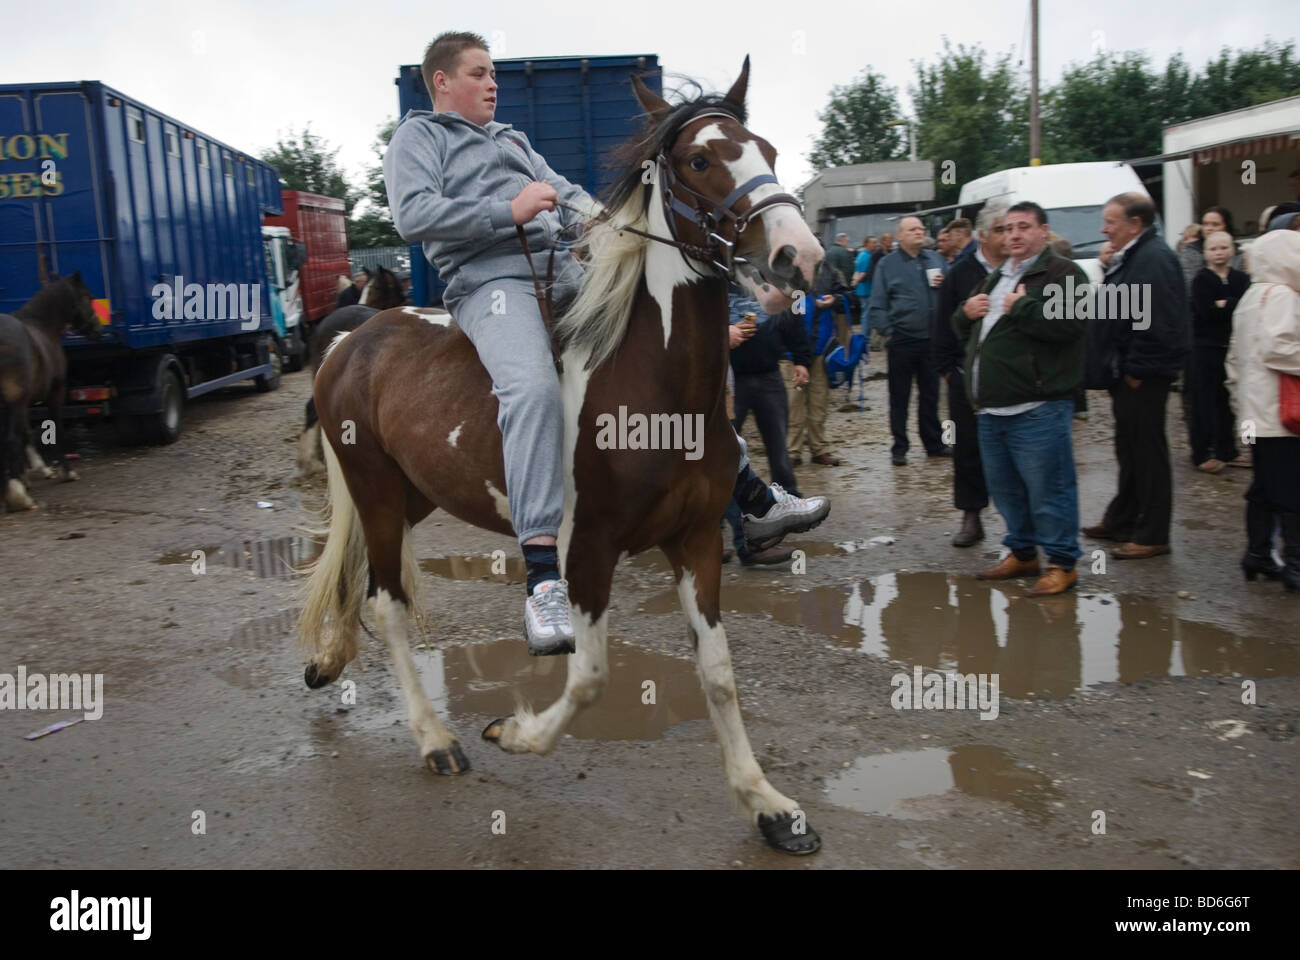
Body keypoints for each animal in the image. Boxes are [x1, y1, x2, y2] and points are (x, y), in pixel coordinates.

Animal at [0, 269, 101, 509]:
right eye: (88, 297)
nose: (98, 329)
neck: (43, 326)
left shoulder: (23, 401)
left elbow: (25, 434)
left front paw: (28, 475)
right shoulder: (54, 392)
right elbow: (54, 429)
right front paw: (65, 471)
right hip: (14, 400)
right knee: (10, 439)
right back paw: (19, 498)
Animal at [297, 61, 821, 853]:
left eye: (767, 149)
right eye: (701, 160)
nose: (799, 255)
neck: (648, 382)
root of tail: (349, 338)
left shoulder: (696, 540)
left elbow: (720, 674)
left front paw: (767, 805)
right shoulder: (588, 548)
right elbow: (591, 677)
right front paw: (512, 733)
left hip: (413, 494)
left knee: (360, 579)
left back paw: (332, 666)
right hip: (379, 493)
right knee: (386, 603)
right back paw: (434, 739)